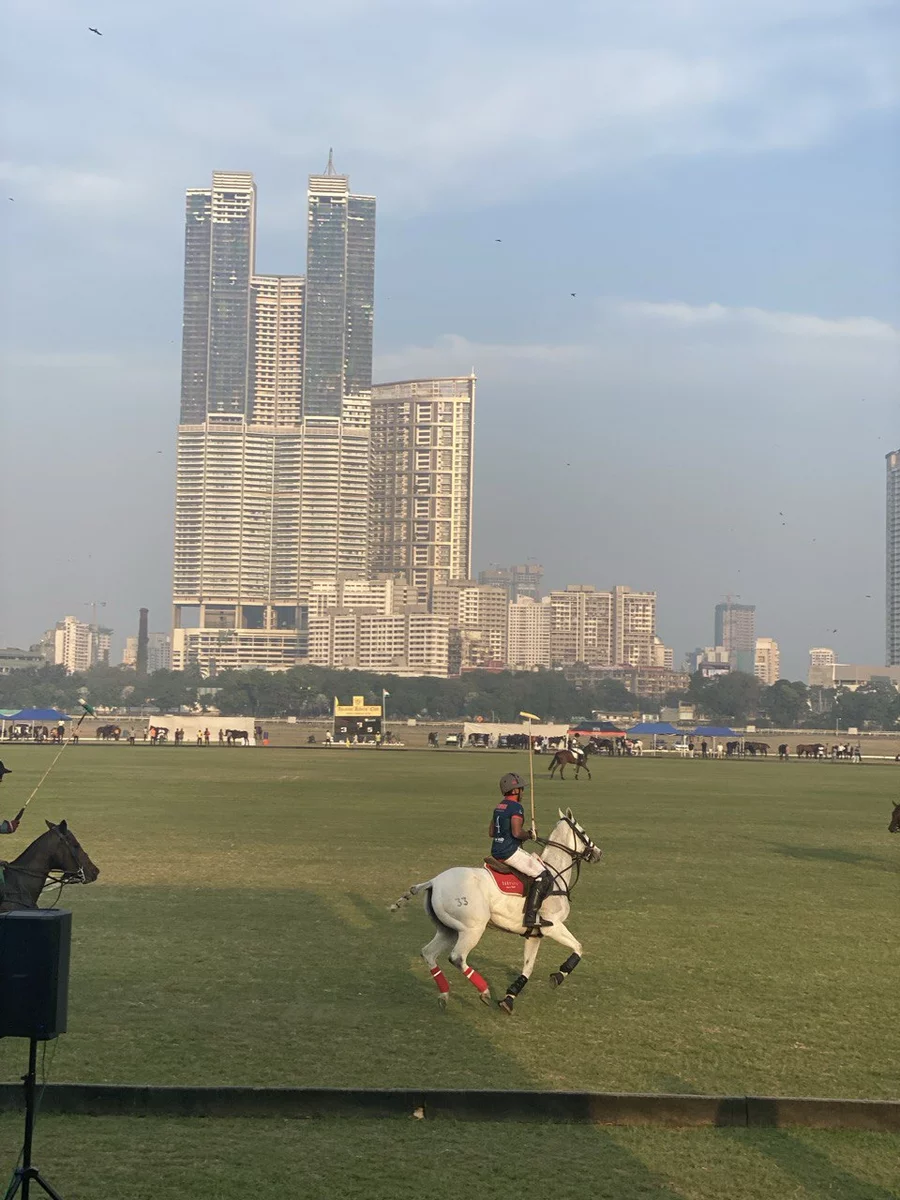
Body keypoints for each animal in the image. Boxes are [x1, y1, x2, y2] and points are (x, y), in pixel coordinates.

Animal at [388, 811, 607, 1017]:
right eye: (583, 832)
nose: (598, 853)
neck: (555, 874)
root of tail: (433, 881)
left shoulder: (534, 935)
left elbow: (528, 967)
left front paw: (508, 999)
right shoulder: (552, 925)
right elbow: (578, 948)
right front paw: (558, 976)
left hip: (448, 929)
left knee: (428, 953)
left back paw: (444, 995)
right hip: (472, 928)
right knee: (457, 957)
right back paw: (483, 991)